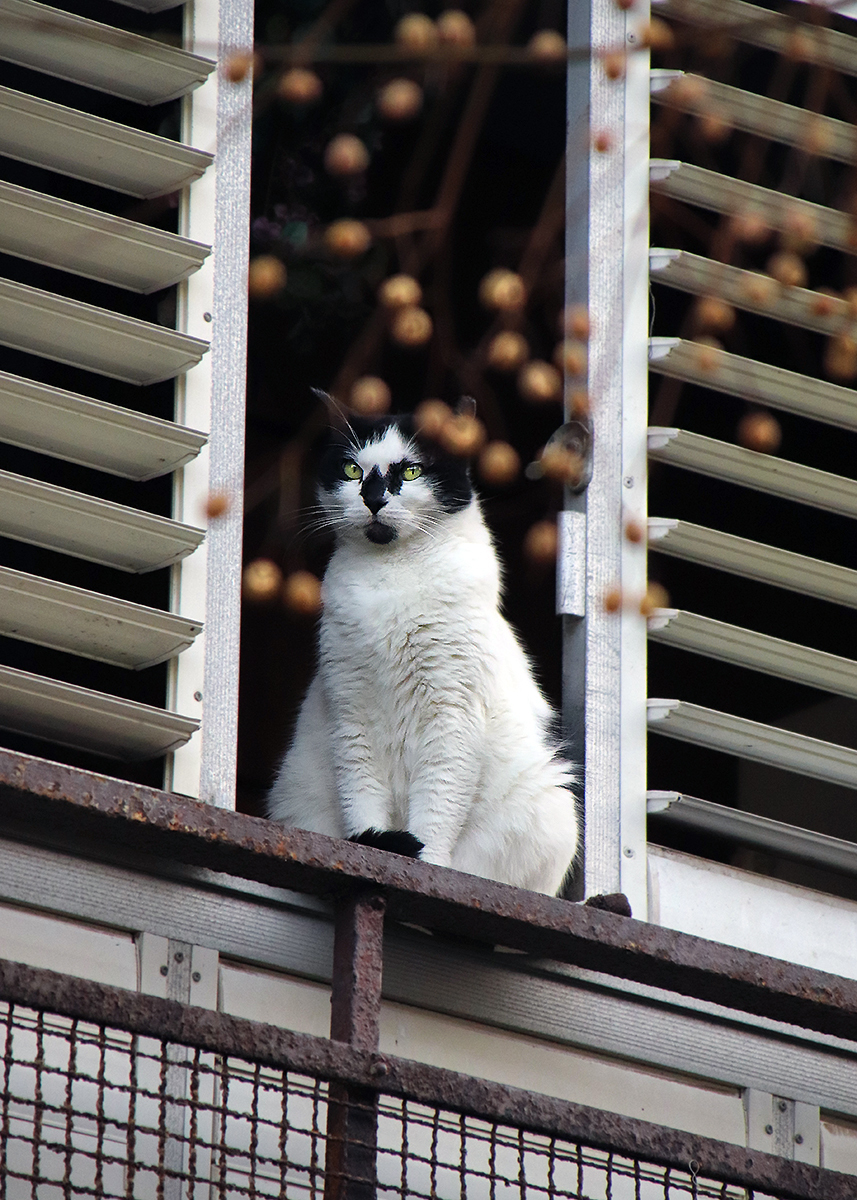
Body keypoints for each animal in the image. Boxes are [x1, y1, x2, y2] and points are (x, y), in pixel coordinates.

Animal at [264, 408, 578, 897]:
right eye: (352, 470)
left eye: (410, 471)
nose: (373, 498)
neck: (390, 580)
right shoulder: (352, 714)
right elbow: (362, 798)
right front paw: (375, 846)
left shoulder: (451, 716)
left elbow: (437, 807)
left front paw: (425, 862)